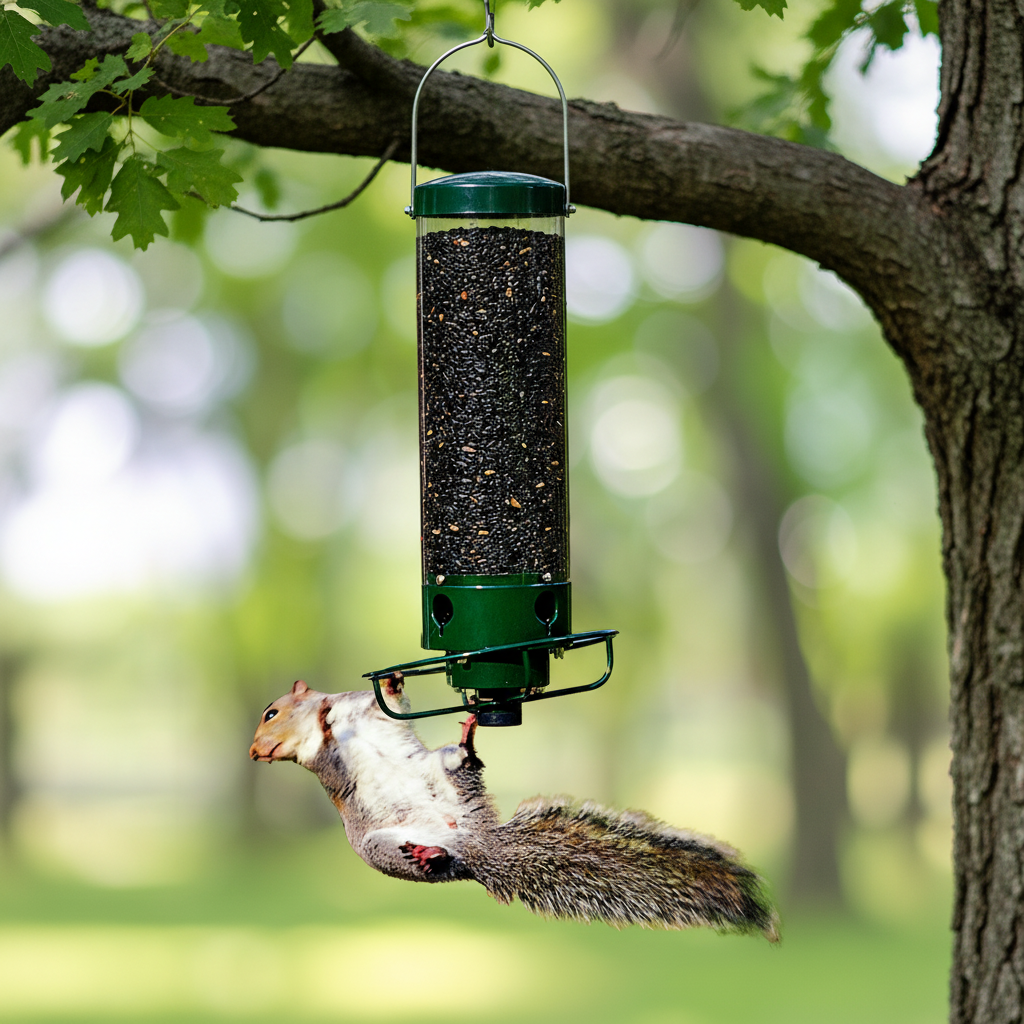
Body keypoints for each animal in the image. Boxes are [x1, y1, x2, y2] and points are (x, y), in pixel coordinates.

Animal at [250, 677, 779, 941]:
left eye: (271, 711)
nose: (256, 751)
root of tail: (474, 844)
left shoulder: (370, 707)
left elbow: (388, 699)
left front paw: (380, 685)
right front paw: (320, 726)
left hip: (448, 774)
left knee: (464, 762)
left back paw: (467, 738)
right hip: (382, 847)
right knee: (437, 860)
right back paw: (428, 856)